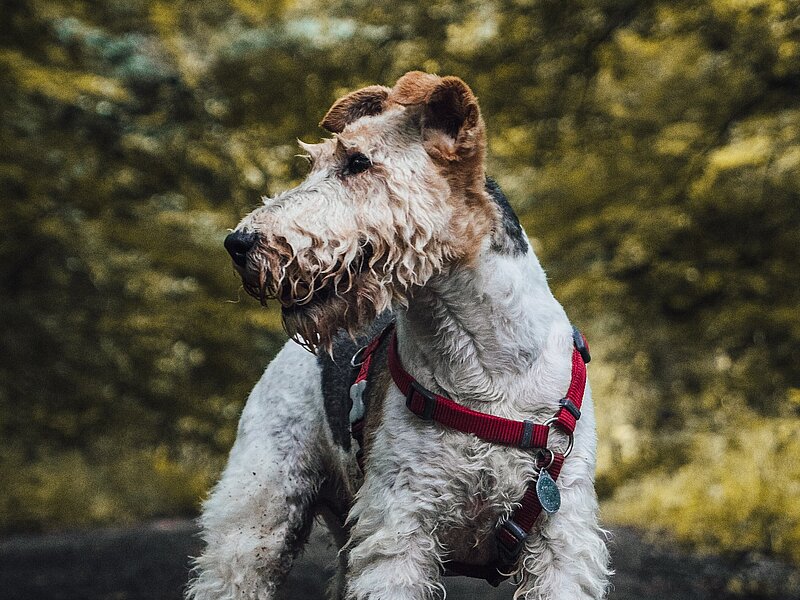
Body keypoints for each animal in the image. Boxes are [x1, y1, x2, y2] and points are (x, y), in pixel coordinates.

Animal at [189, 71, 612, 600]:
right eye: (315, 164)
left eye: (356, 162)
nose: (238, 243)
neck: (483, 364)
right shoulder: (399, 523)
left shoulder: (561, 535)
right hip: (258, 510)